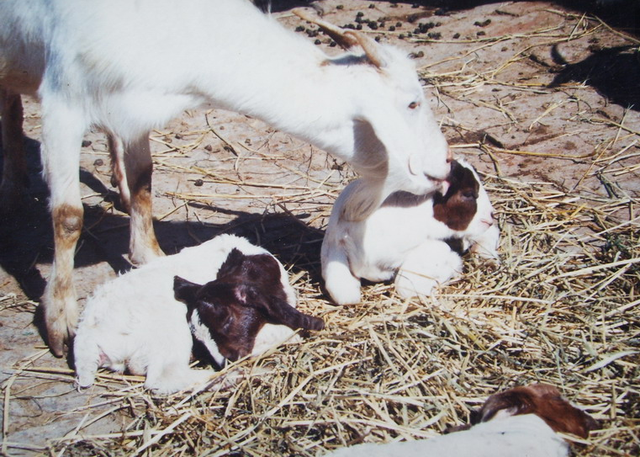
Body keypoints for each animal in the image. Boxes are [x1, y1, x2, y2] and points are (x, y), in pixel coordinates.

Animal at [0, 0, 450, 356]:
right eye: (412, 103)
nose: (444, 168)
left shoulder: (135, 106)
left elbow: (144, 180)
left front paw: (149, 255)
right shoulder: (62, 102)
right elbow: (68, 215)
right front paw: (60, 318)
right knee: (12, 108)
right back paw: (15, 188)